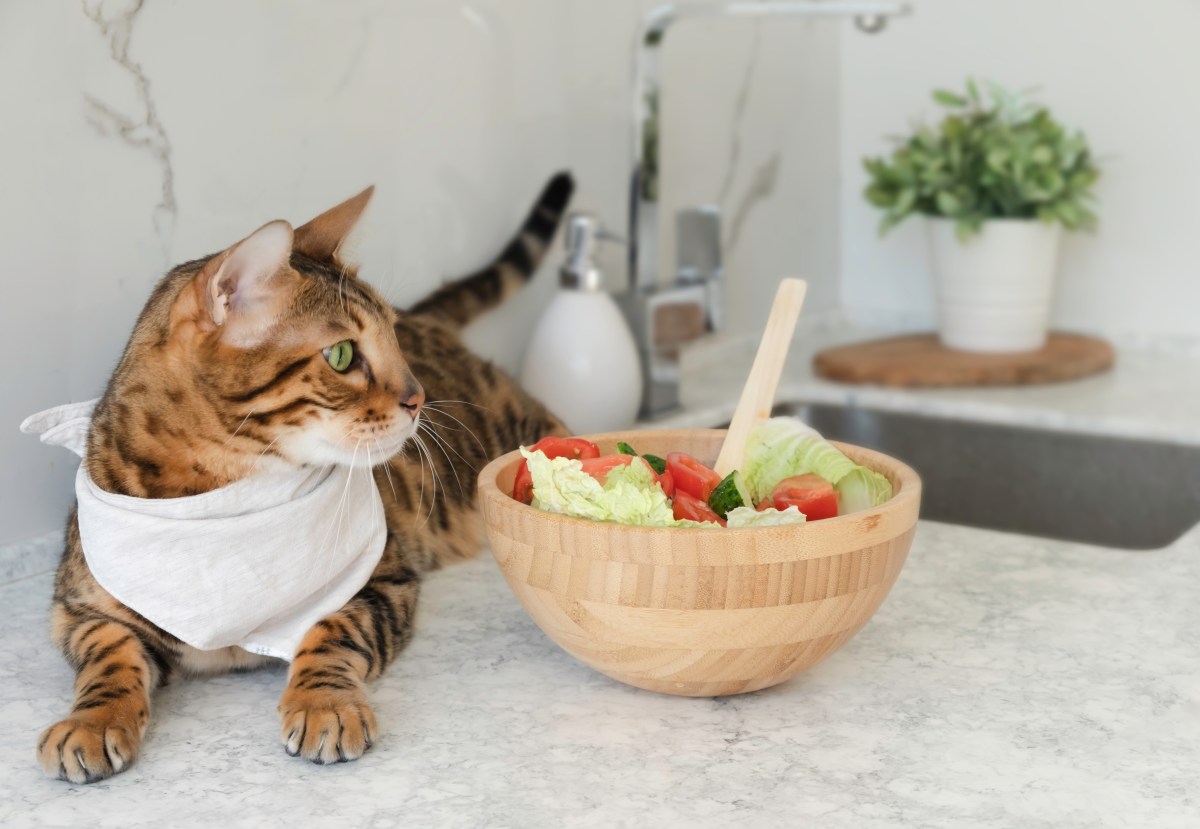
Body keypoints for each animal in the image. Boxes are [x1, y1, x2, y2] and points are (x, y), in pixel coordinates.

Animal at [36, 171, 576, 782]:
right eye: (341, 355)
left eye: (393, 338)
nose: (418, 398)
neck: (219, 498)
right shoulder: (79, 608)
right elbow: (108, 658)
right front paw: (92, 720)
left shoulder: (383, 577)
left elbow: (329, 633)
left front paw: (324, 704)